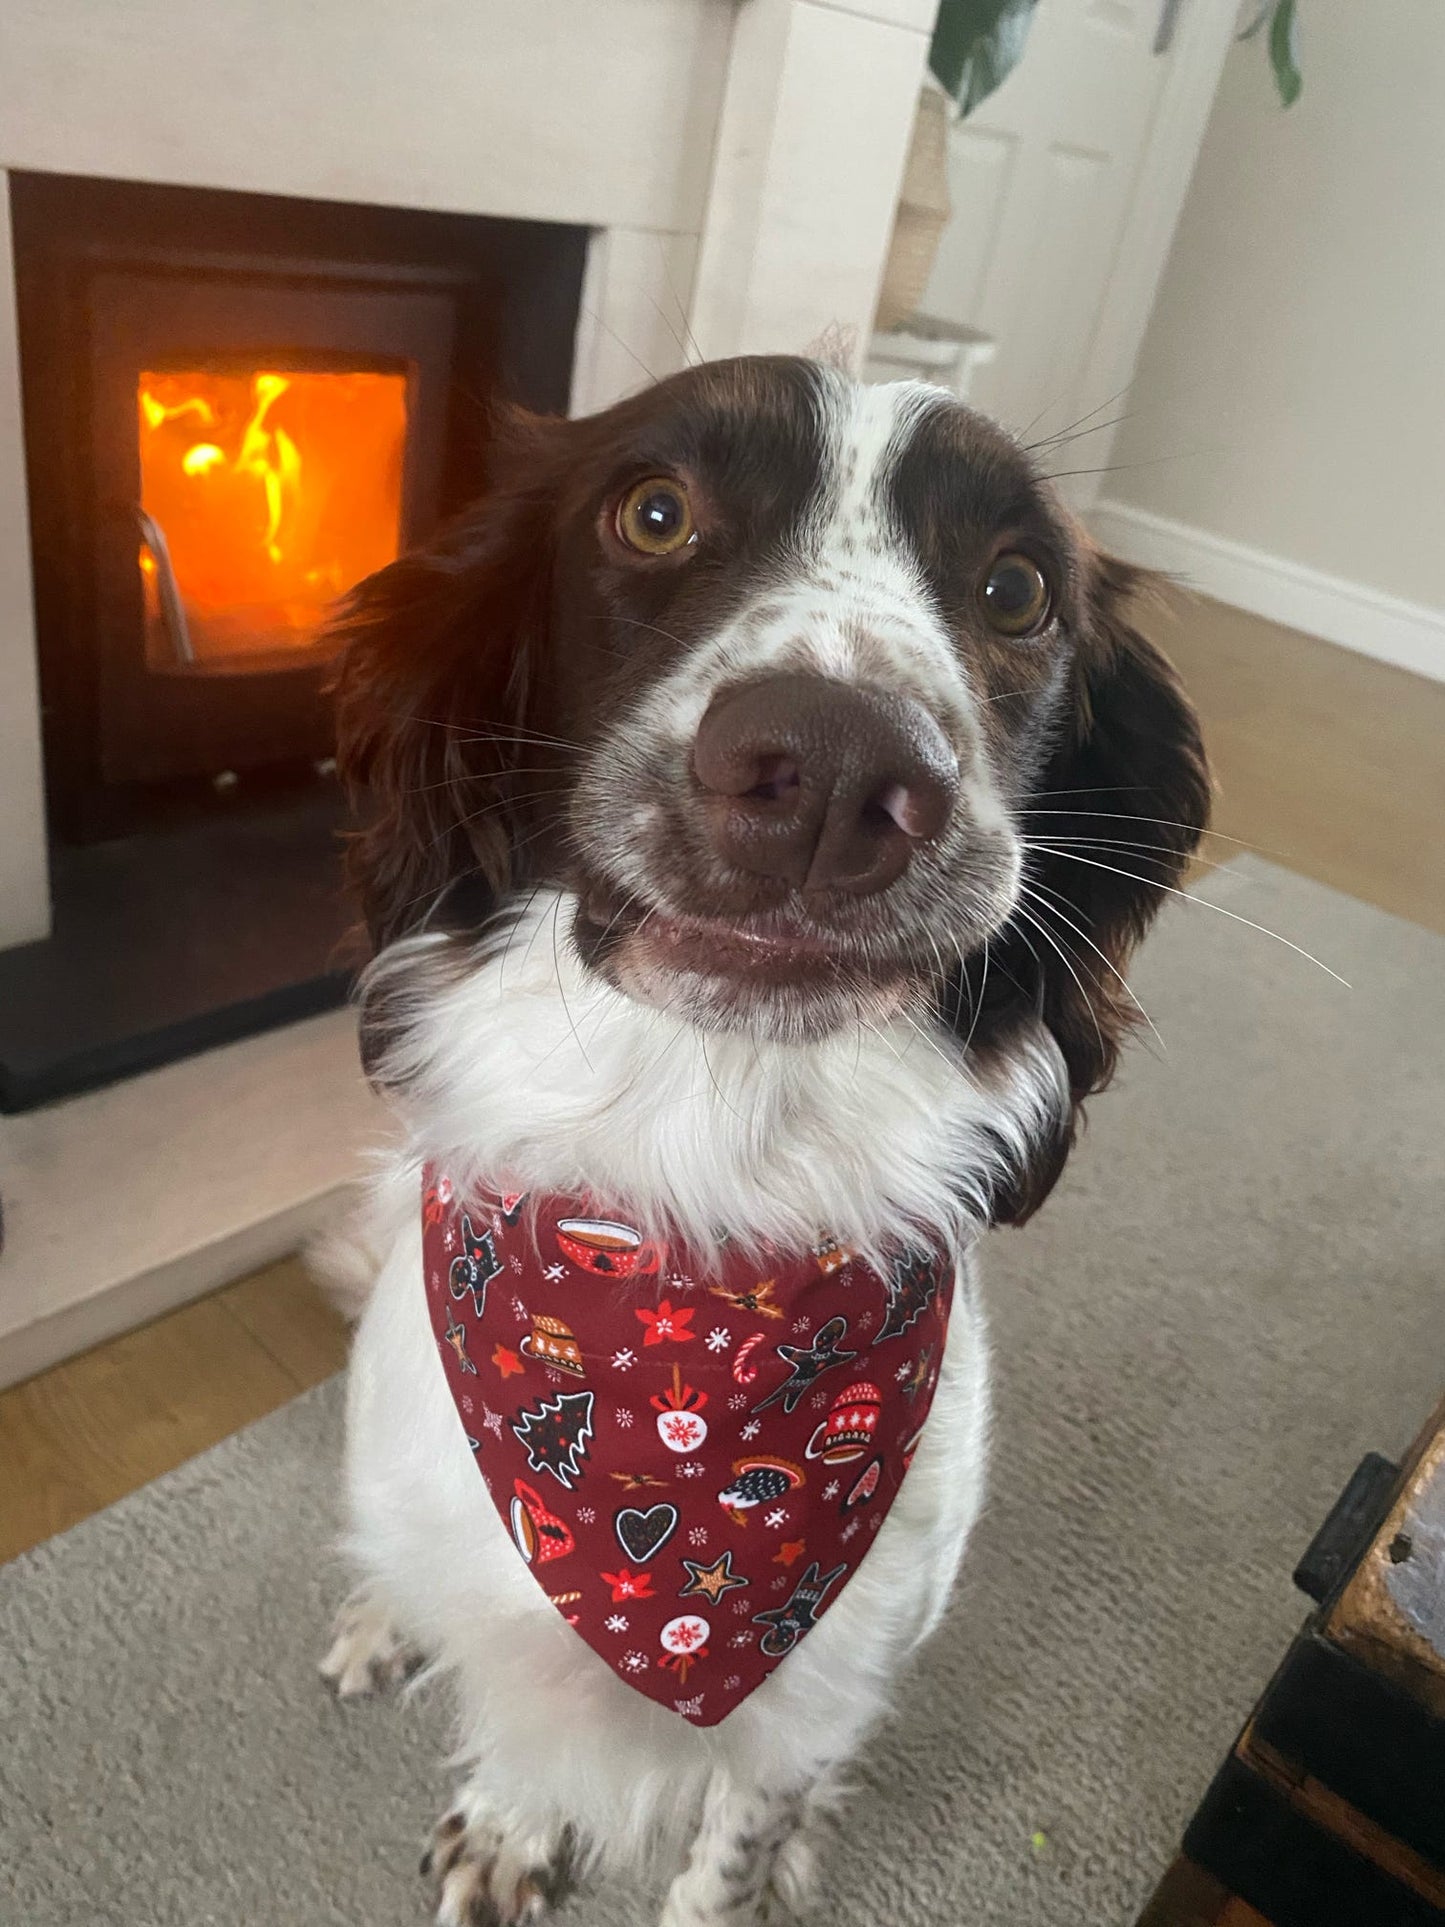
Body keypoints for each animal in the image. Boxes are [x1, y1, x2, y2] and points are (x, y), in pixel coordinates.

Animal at [315, 358, 1209, 1927]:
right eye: (654, 511)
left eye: (1017, 587)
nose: (840, 768)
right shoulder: (509, 1593)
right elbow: (518, 1716)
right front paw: (510, 1819)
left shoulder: (824, 1690)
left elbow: (732, 1843)